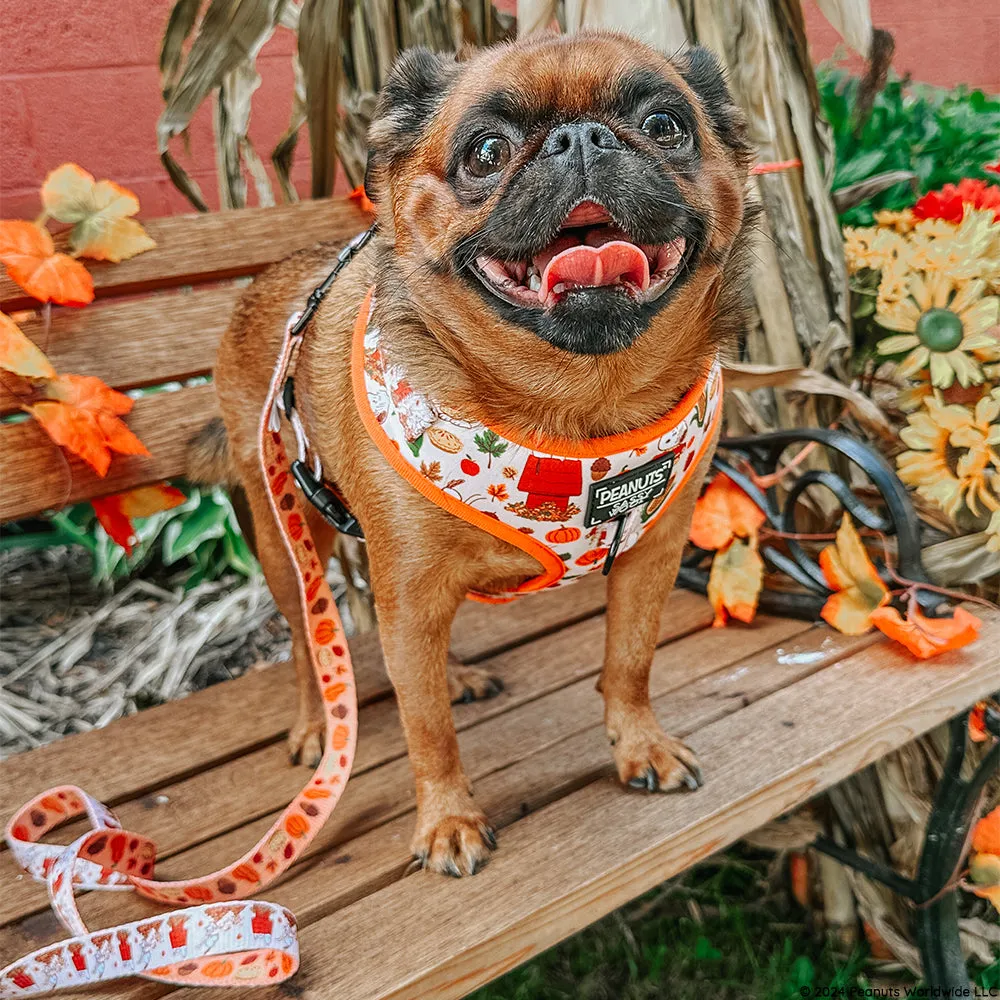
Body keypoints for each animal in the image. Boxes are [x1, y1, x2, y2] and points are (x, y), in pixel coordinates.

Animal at [191, 29, 752, 876]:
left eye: (665, 127)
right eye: (487, 152)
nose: (580, 138)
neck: (577, 406)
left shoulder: (651, 557)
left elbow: (629, 662)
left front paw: (640, 745)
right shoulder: (411, 588)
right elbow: (427, 729)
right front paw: (447, 820)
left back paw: (452, 673)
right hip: (289, 534)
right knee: (308, 642)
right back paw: (318, 725)